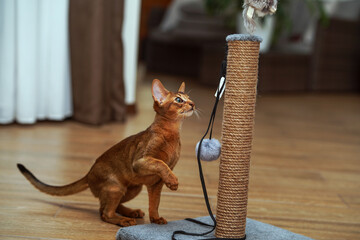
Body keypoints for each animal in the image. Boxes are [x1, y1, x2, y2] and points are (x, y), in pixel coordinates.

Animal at [17, 80, 194, 227]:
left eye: (189, 98)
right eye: (179, 100)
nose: (193, 104)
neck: (171, 135)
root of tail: (89, 174)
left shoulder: (156, 184)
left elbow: (155, 203)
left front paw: (155, 219)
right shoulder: (140, 161)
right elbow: (160, 163)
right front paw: (173, 181)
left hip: (133, 188)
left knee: (107, 206)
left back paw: (131, 212)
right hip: (116, 187)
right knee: (104, 213)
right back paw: (124, 220)